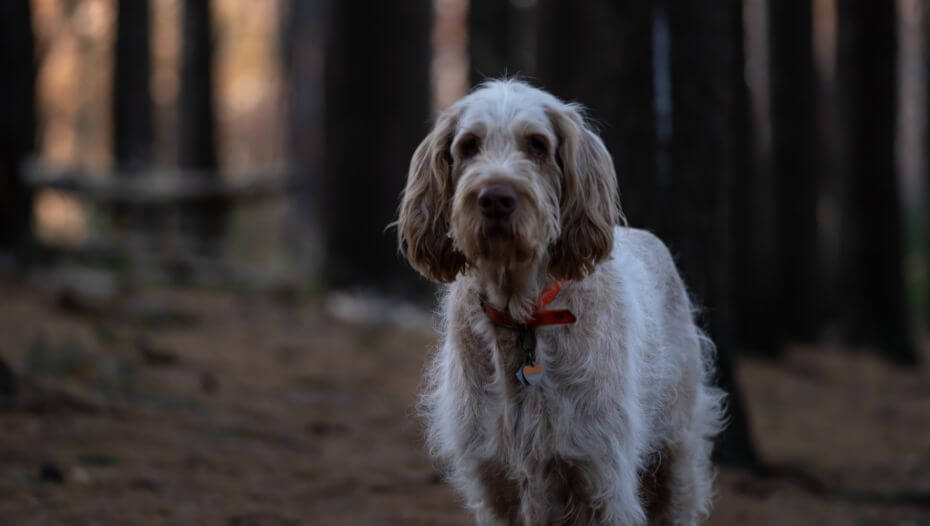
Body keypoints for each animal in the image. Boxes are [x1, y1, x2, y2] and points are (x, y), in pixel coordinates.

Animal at [392, 80, 724, 524]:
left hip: (676, 461)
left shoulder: (600, 477)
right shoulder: (495, 483)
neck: (522, 318)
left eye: (536, 144)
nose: (495, 198)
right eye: (469, 145)